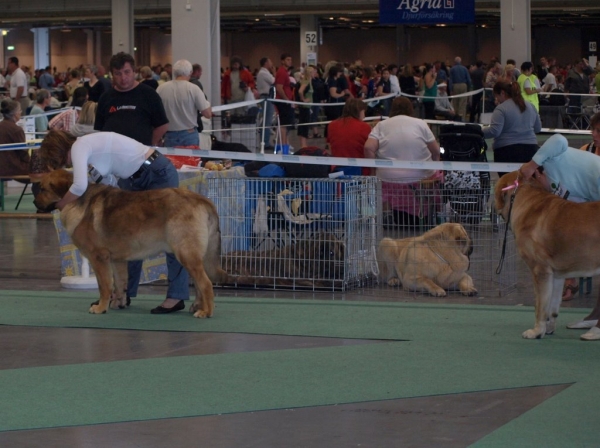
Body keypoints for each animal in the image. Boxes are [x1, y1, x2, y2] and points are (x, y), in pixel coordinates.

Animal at [34, 168, 227, 318]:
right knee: (199, 283)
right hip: (190, 256)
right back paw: (197, 306)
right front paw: (117, 303)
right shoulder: (116, 260)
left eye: (42, 189)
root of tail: (203, 200)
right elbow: (120, 283)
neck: (78, 200)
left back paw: (206, 311)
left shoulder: (99, 258)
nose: (35, 202)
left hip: (186, 254)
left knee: (206, 284)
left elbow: (104, 286)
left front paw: (100, 307)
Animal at [494, 172, 600, 340]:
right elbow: (553, 308)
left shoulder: (540, 271)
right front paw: (549, 329)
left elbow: (540, 307)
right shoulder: (557, 276)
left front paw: (536, 331)